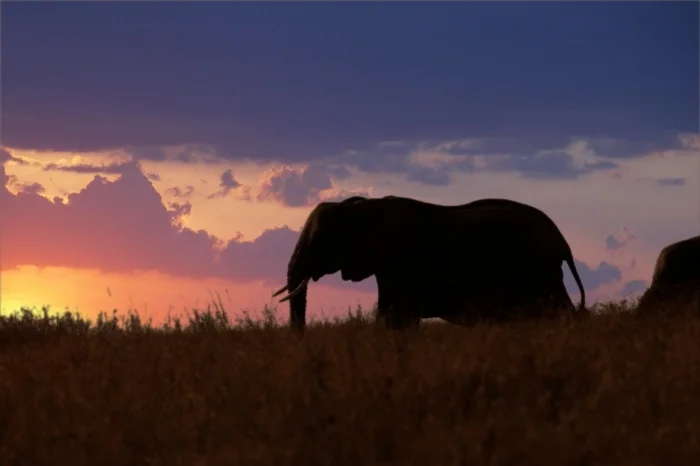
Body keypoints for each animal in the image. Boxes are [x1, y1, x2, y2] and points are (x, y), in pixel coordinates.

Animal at [272, 195, 586, 334]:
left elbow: (398, 315)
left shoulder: (402, 260)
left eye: (323, 240)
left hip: (540, 268)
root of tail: (563, 242)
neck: (363, 207)